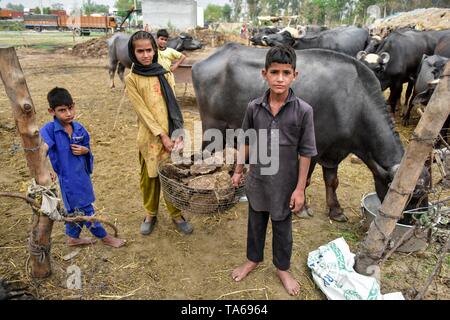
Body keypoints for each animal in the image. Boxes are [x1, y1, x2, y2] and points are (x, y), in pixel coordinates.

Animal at [192, 43, 430, 222]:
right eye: (411, 197)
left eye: (425, 193)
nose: (414, 221)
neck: (353, 102)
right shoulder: (315, 148)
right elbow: (305, 179)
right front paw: (302, 207)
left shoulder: (335, 151)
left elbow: (332, 181)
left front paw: (336, 210)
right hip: (213, 126)